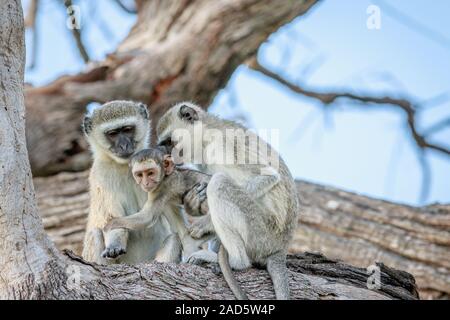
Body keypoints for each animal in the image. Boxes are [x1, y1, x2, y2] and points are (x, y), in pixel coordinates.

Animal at [81, 101, 179, 264]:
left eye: (127, 129)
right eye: (113, 134)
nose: (124, 146)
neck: (126, 166)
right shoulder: (101, 174)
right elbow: (112, 219)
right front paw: (114, 245)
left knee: (173, 239)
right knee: (95, 234)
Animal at [103, 148, 248, 300]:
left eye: (150, 172)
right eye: (140, 174)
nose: (146, 183)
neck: (166, 176)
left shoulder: (161, 188)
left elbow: (147, 218)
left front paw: (110, 225)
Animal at [156, 102, 300, 300]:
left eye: (169, 143)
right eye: (164, 145)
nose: (169, 157)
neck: (207, 137)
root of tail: (280, 248)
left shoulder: (227, 144)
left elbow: (269, 176)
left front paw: (204, 223)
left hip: (261, 233)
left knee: (219, 183)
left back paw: (235, 261)